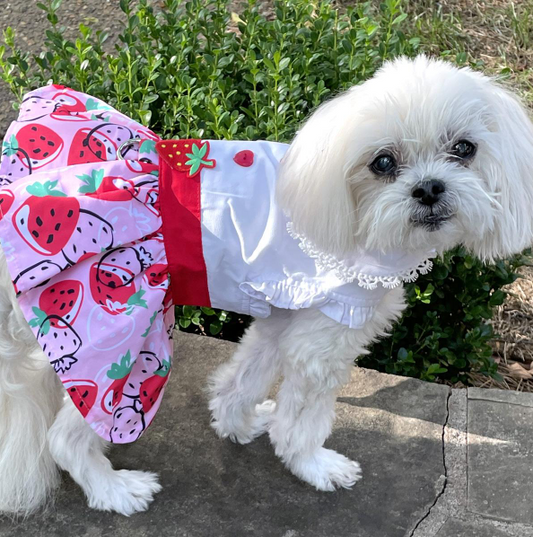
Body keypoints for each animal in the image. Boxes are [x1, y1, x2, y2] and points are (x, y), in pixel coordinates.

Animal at [1, 55, 532, 516]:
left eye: (464, 148)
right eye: (382, 162)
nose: (429, 189)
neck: (351, 214)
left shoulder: (284, 319)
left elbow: (246, 376)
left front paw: (236, 424)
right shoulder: (324, 339)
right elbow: (302, 420)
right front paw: (312, 464)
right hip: (120, 345)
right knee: (66, 437)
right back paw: (113, 490)